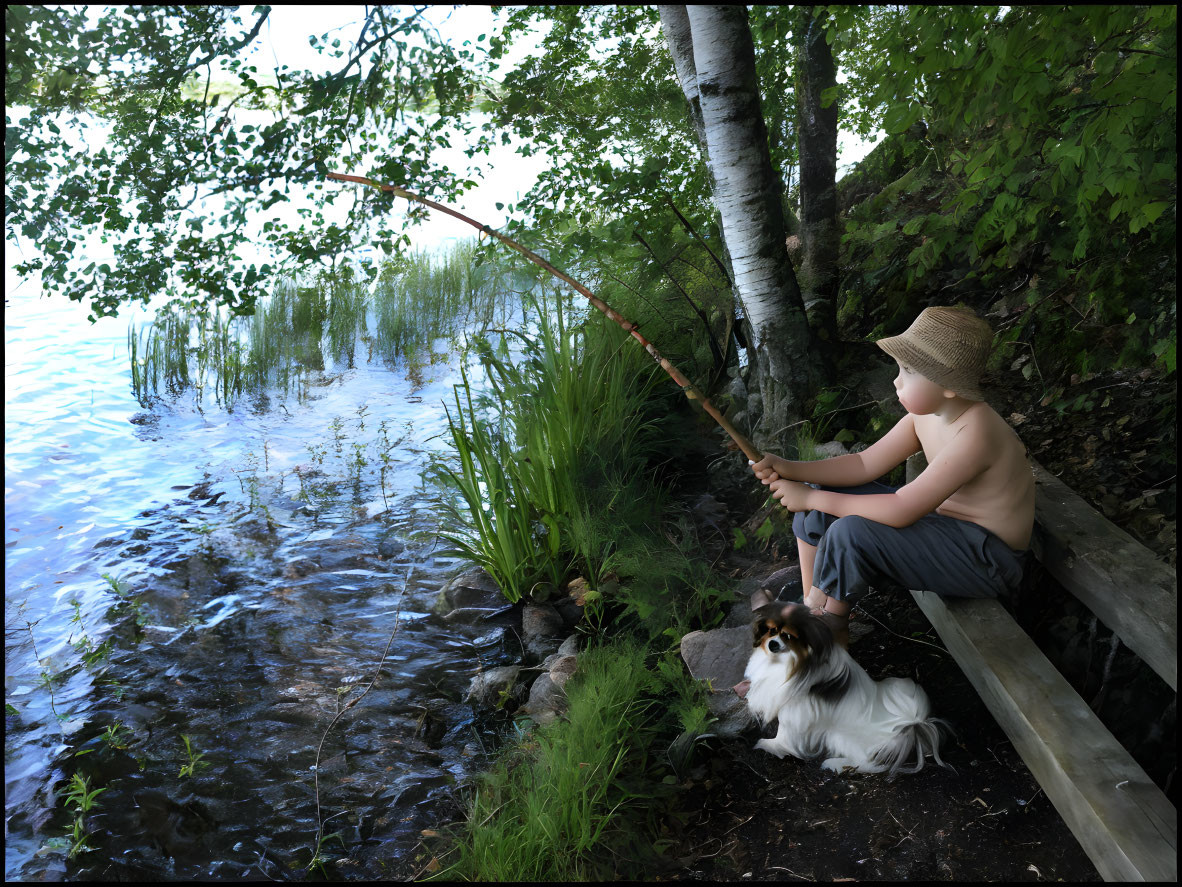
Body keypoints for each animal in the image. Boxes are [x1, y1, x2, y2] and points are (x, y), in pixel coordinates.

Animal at [737, 605, 950, 775]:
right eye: (771, 631)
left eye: (788, 636)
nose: (772, 644)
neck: (791, 661)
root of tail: (909, 725)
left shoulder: (796, 710)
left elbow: (784, 732)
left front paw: (770, 745)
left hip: (838, 735)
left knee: (871, 763)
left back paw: (836, 764)